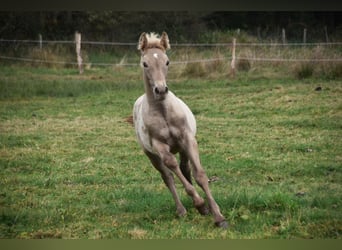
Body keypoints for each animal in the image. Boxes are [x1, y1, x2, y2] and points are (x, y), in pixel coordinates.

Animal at [133, 31, 227, 229]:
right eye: (145, 64)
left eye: (167, 62)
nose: (161, 90)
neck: (163, 112)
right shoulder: (160, 146)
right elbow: (171, 167)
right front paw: (200, 205)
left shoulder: (188, 139)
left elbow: (200, 175)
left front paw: (217, 215)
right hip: (151, 154)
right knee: (168, 176)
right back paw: (182, 210)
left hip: (181, 148)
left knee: (185, 169)